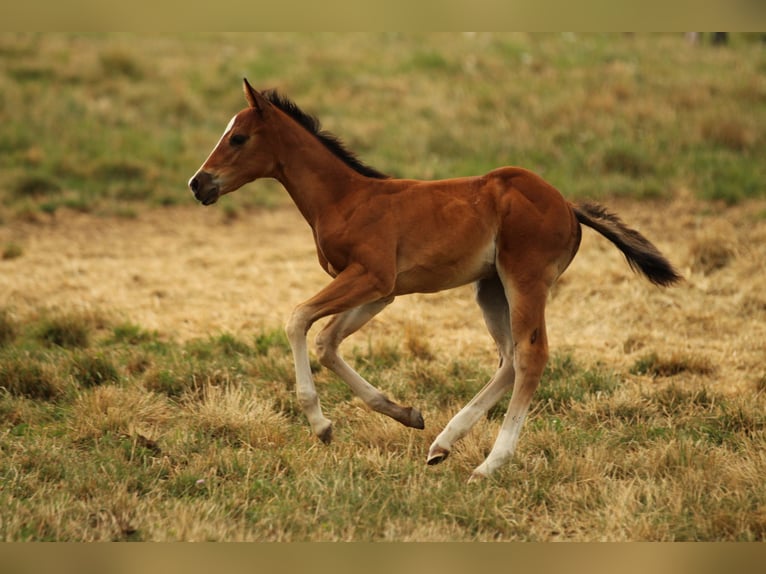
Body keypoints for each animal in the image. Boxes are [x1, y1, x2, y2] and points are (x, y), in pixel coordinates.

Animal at [188, 78, 681, 480]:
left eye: (238, 137)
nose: (198, 183)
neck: (346, 198)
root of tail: (568, 206)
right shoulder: (382, 290)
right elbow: (327, 342)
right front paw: (404, 413)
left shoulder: (371, 275)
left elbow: (297, 319)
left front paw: (321, 425)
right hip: (492, 288)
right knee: (509, 358)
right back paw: (442, 444)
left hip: (525, 279)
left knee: (531, 356)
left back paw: (489, 465)